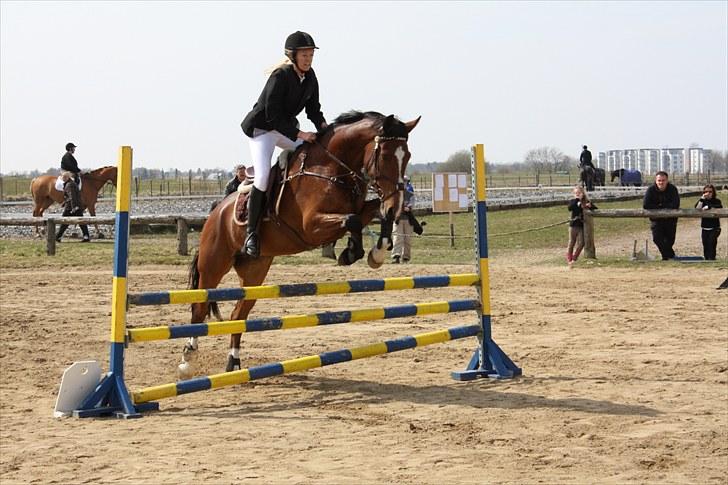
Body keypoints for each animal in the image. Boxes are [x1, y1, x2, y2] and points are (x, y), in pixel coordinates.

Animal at [180, 111, 420, 376]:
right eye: (385, 155)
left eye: (407, 156)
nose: (396, 205)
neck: (333, 169)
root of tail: (216, 210)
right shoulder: (311, 226)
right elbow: (353, 220)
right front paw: (351, 252)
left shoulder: (359, 208)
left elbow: (372, 213)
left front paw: (374, 253)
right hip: (213, 265)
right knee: (200, 307)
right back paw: (188, 357)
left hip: (254, 272)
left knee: (238, 313)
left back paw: (234, 362)